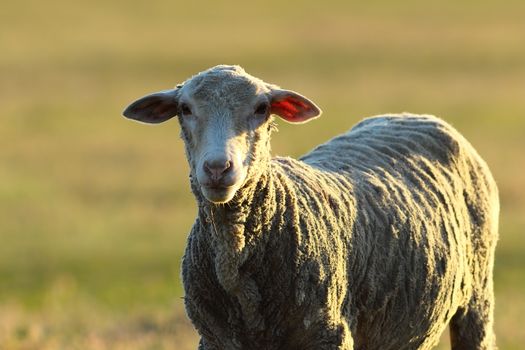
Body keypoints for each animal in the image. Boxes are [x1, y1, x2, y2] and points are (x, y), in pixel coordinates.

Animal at [123, 65, 500, 350]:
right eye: (184, 109)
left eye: (261, 108)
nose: (218, 168)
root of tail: (412, 115)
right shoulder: (215, 339)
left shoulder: (327, 332)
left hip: (477, 296)